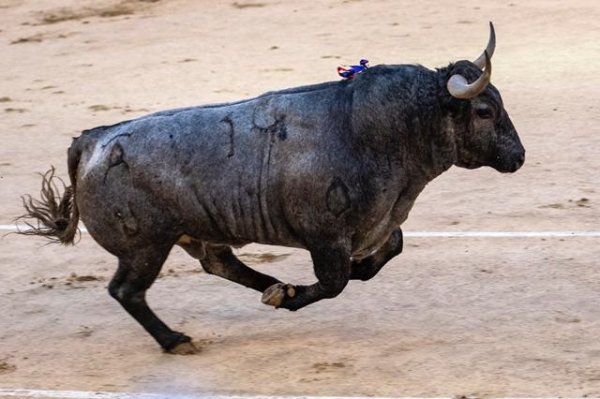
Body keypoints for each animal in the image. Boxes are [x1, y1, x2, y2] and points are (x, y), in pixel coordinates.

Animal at [19, 23, 524, 354]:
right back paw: (177, 339)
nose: (519, 156)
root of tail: (93, 139)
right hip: (146, 246)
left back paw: (276, 287)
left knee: (219, 264)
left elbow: (384, 254)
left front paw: (303, 288)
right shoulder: (325, 236)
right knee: (127, 291)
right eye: (484, 111)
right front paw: (300, 294)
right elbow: (336, 282)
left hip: (196, 232)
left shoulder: (378, 224)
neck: (378, 131)